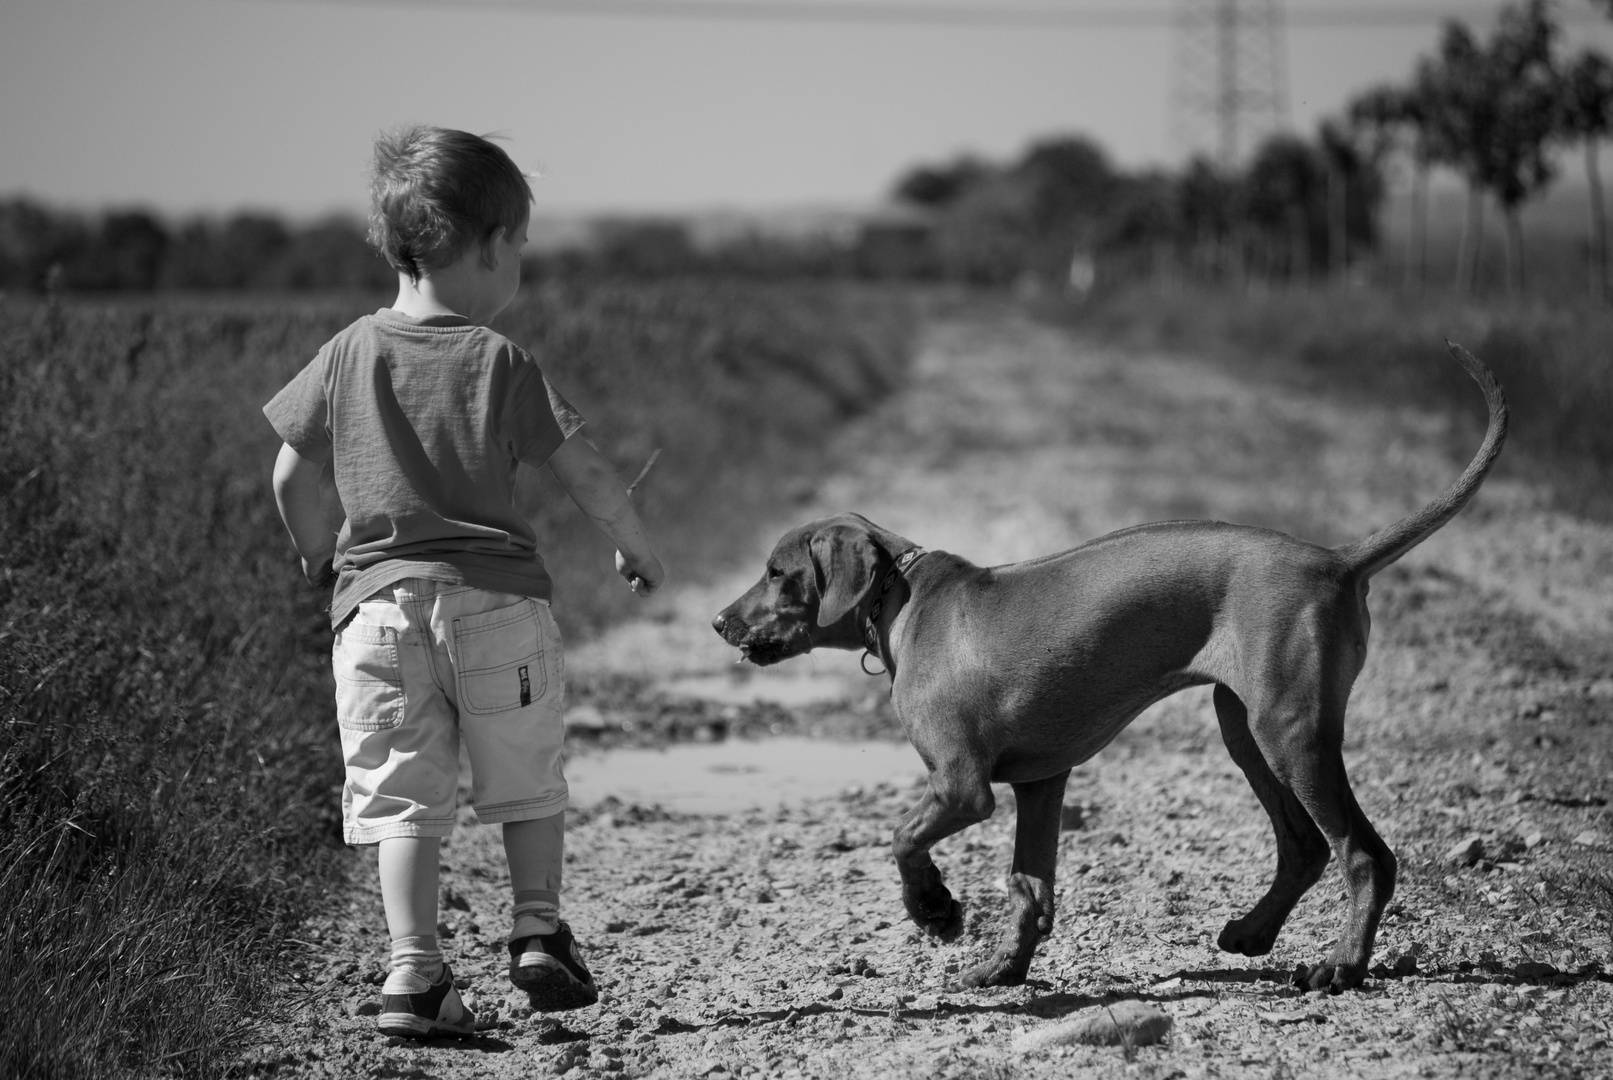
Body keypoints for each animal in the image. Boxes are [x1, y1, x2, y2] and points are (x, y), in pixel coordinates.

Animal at [712, 343, 1503, 992]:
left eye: (777, 572)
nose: (719, 622)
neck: (903, 599)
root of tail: (1337, 559)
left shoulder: (963, 788)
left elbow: (903, 838)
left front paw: (934, 911)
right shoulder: (1039, 783)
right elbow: (1029, 888)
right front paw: (1002, 969)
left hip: (1291, 731)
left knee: (1364, 855)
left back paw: (1340, 966)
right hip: (1245, 728)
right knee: (1305, 846)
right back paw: (1253, 933)